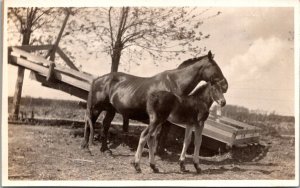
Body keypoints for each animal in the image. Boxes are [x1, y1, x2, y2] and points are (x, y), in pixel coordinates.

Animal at [81, 50, 229, 153]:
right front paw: (156, 153)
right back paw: (85, 146)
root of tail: (98, 79)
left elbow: (164, 134)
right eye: (215, 67)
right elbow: (159, 135)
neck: (174, 83)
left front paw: (160, 152)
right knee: (90, 123)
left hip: (111, 109)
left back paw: (105, 149)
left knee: (105, 125)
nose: (226, 86)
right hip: (96, 108)